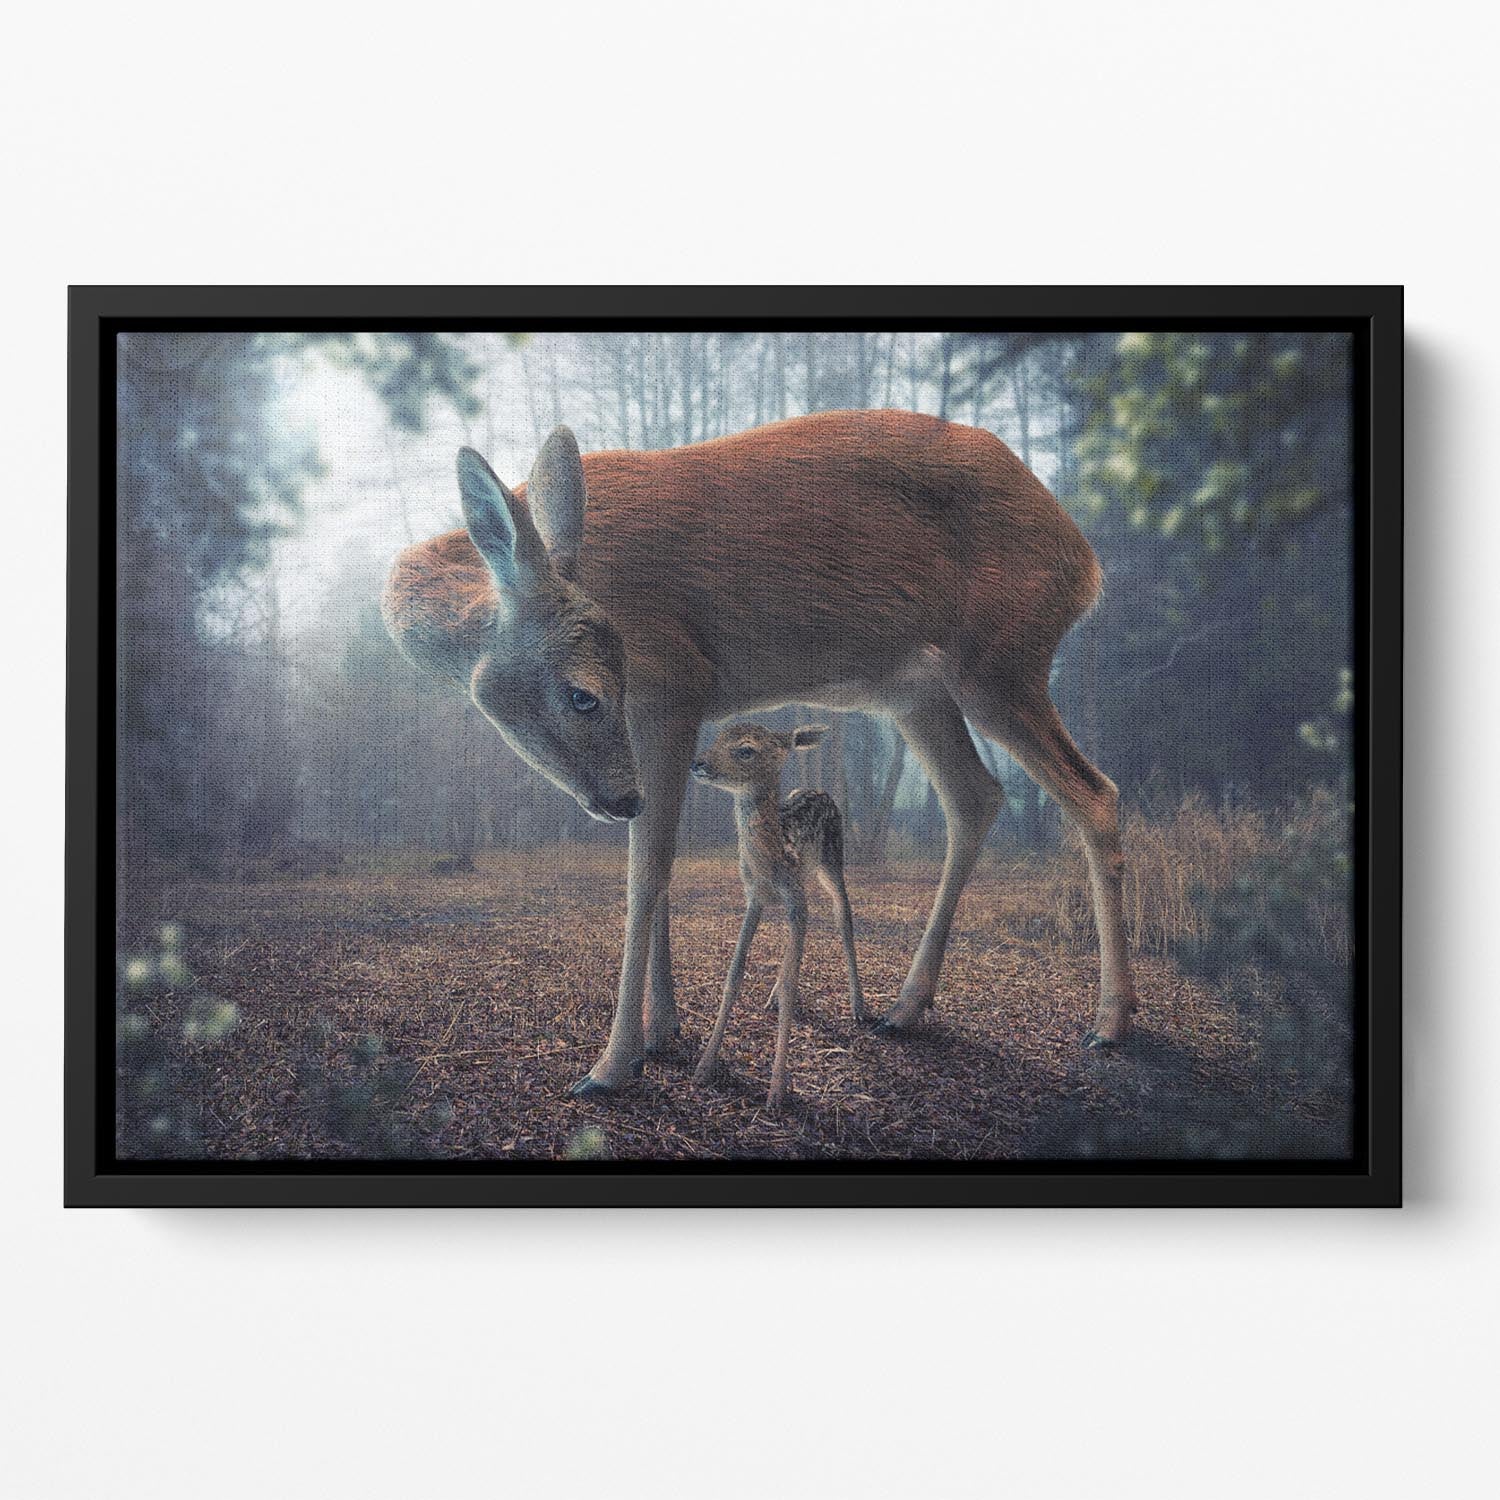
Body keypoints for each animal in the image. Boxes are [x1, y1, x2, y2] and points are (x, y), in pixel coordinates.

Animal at [688, 721, 866, 1111]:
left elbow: (792, 982)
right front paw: (704, 1067)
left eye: (746, 749)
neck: (770, 859)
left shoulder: (795, 898)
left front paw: (777, 1091)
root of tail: (819, 789)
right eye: (718, 736)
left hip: (832, 861)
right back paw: (771, 996)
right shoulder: (754, 897)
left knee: (843, 915)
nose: (697, 763)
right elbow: (734, 973)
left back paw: (859, 1007)